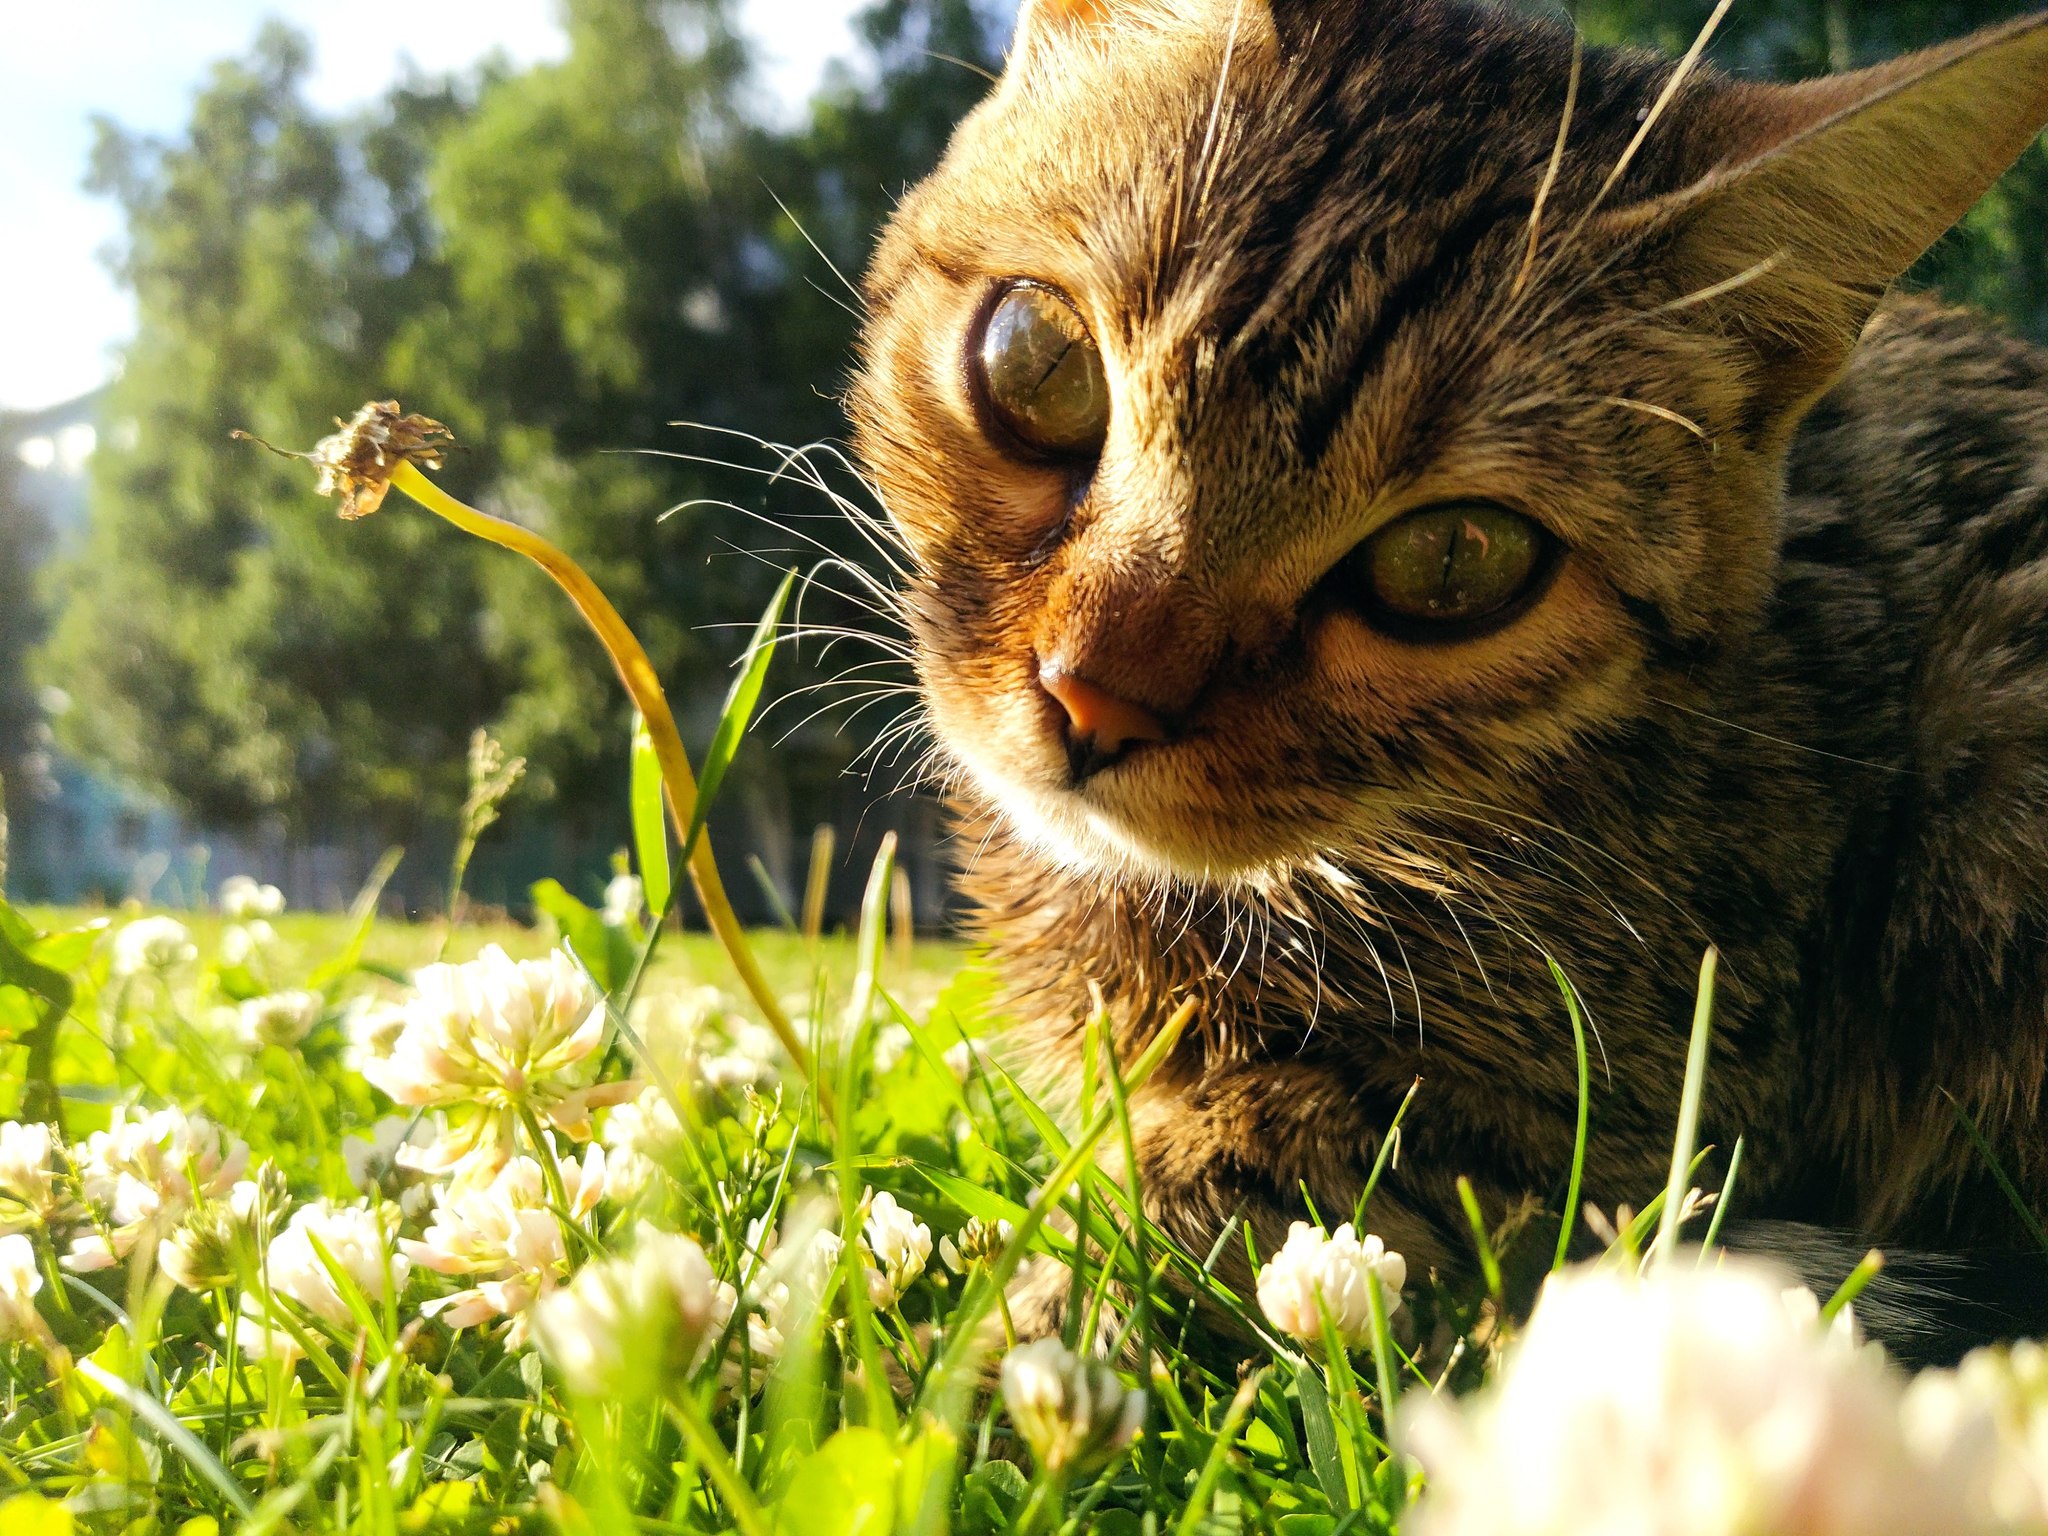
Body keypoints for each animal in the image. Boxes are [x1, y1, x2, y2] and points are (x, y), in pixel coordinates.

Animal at [839, 0, 2048, 1368]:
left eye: (1454, 559)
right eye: (1037, 365)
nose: (1094, 698)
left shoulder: (1576, 1145)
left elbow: (1195, 1202)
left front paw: (1003, 1344)